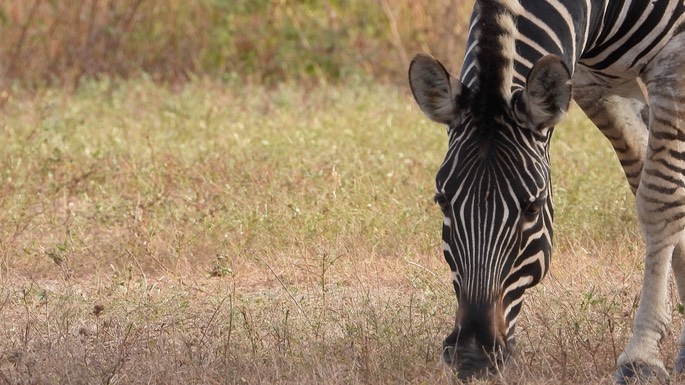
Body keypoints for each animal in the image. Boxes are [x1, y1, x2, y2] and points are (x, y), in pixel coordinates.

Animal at [408, 0, 685, 382]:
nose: (472, 357)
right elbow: (650, 176)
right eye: (443, 201)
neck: (605, 12)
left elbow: (660, 199)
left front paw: (642, 357)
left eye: (533, 207)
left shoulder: (675, 57)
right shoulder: (591, 79)